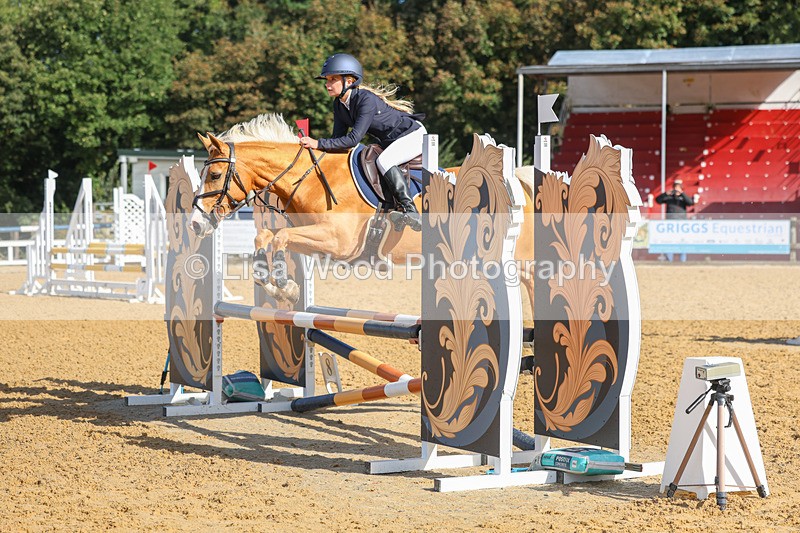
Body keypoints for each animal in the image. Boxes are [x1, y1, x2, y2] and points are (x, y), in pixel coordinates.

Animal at [190, 114, 536, 312]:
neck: (309, 179)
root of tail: (518, 183)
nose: (195, 224)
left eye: (215, 176)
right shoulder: (317, 239)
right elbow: (266, 236)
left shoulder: (339, 242)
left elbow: (280, 237)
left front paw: (285, 287)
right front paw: (283, 291)